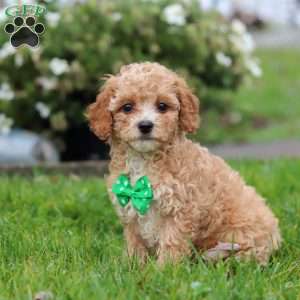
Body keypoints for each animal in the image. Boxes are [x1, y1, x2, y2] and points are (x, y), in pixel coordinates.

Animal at [86, 61, 282, 264]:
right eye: (127, 107)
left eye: (162, 106)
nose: (145, 125)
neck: (144, 160)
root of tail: (276, 236)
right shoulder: (130, 212)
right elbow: (134, 242)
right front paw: (132, 265)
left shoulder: (181, 210)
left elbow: (172, 242)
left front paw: (165, 268)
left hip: (243, 236)